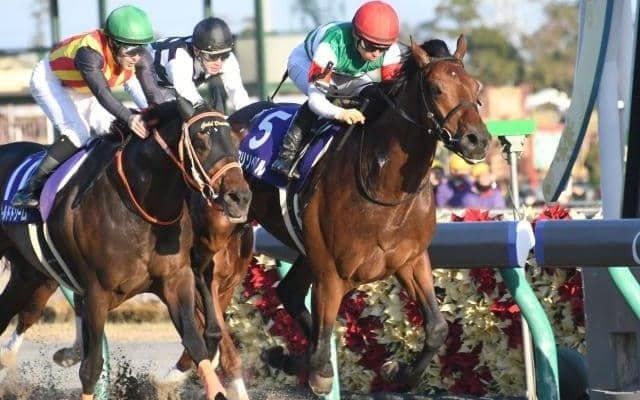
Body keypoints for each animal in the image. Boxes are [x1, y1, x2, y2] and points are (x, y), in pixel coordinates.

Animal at [0, 98, 251, 400]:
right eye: (200, 141)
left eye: (235, 141)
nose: (240, 197)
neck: (139, 206)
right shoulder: (95, 293)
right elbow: (91, 368)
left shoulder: (178, 279)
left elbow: (197, 342)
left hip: (29, 273)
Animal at [226, 35, 491, 395]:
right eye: (436, 89)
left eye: (475, 87)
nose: (478, 140)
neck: (386, 190)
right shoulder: (331, 273)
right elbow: (320, 351)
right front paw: (300, 364)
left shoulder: (410, 260)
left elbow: (437, 328)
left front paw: (397, 372)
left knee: (289, 292)